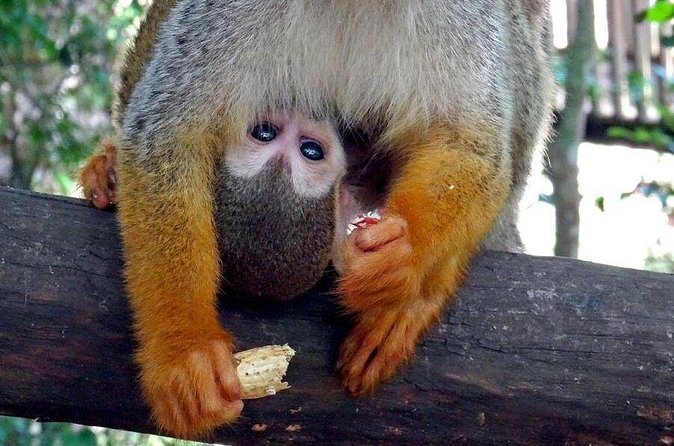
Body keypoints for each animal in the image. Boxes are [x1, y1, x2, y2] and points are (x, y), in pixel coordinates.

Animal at [80, 0, 553, 438]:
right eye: (266, 133)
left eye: (311, 150)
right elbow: (168, 136)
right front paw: (184, 349)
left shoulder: (464, 13)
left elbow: (472, 147)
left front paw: (404, 254)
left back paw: (423, 292)